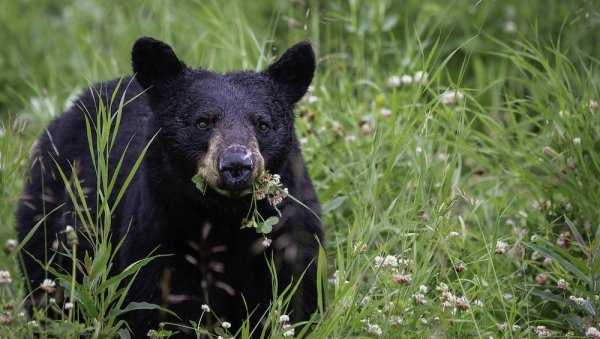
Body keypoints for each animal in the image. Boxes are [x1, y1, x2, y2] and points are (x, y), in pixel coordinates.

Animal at [16, 37, 324, 338]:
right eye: (202, 122)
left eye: (263, 125)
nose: (237, 164)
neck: (225, 216)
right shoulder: (159, 235)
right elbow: (162, 310)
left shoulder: (289, 234)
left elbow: (298, 298)